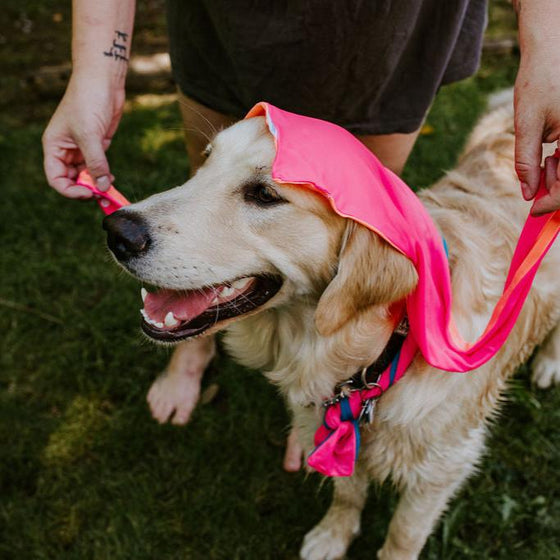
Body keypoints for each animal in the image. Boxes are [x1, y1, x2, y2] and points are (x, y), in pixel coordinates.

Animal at [103, 100, 560, 560]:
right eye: (207, 160)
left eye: (264, 195)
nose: (116, 231)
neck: (377, 355)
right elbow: (347, 493)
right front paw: (333, 535)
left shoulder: (440, 471)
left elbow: (401, 536)